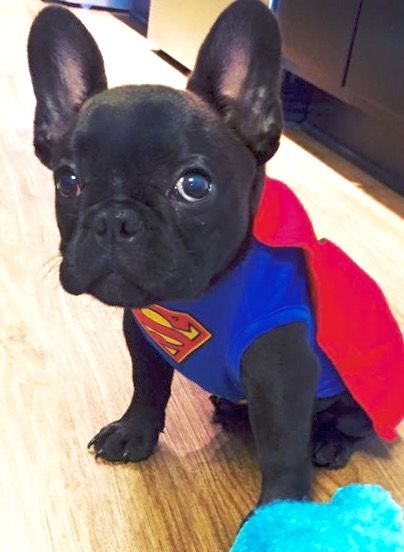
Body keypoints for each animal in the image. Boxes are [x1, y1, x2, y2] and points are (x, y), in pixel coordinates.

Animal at [26, 0, 378, 508]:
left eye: (193, 185)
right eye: (68, 182)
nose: (115, 219)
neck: (203, 296)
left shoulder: (281, 369)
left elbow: (283, 447)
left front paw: (281, 510)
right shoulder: (143, 337)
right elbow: (148, 386)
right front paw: (135, 432)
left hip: (355, 403)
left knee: (348, 425)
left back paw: (330, 442)